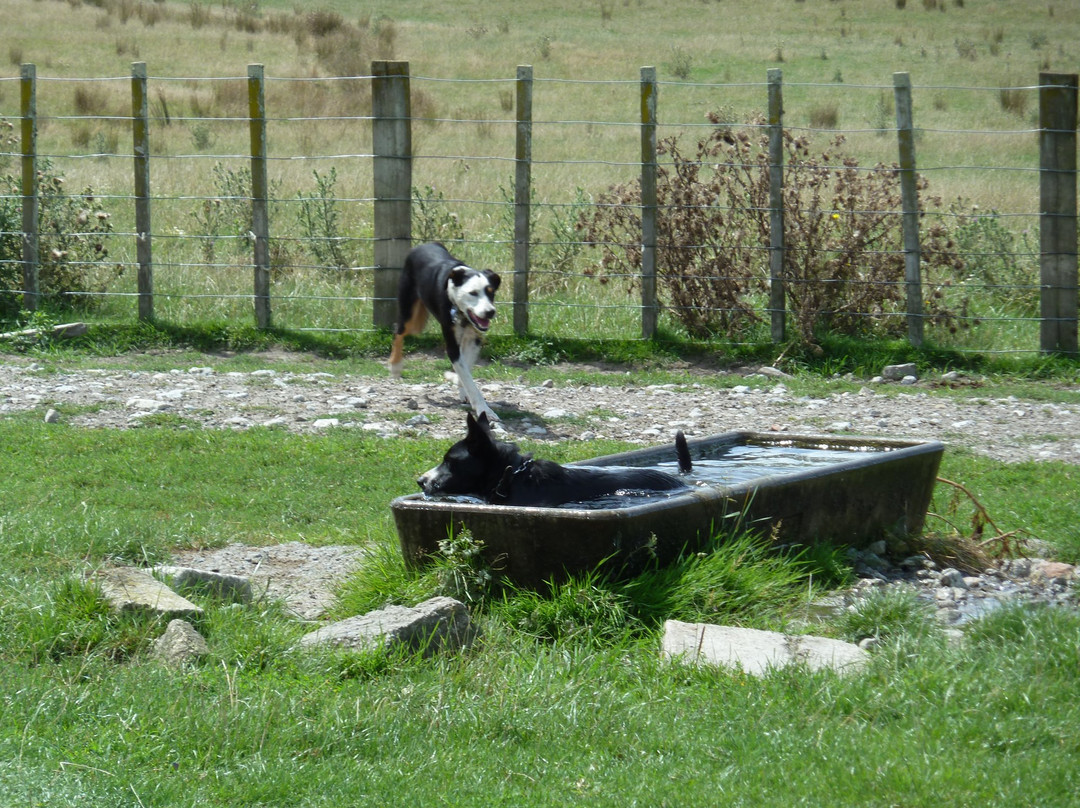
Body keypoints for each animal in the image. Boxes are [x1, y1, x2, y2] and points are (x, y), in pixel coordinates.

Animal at [390, 243, 503, 423]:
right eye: (473, 293)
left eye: (491, 292)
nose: (490, 312)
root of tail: (422, 245)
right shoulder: (452, 345)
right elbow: (468, 378)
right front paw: (484, 409)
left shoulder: (474, 339)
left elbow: (466, 368)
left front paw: (458, 382)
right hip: (410, 315)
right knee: (398, 331)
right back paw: (395, 366)